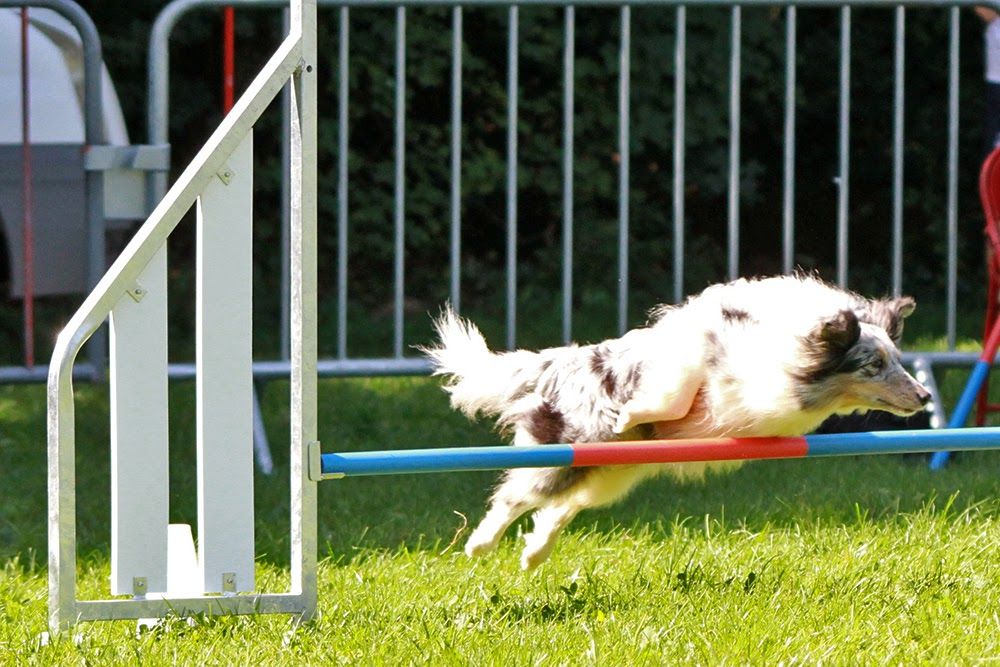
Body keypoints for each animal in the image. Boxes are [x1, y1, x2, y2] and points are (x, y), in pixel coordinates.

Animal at [422, 274, 928, 572]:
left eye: (898, 359)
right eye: (873, 365)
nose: (924, 396)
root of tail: (558, 364)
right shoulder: (695, 352)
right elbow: (676, 393)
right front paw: (632, 410)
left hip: (613, 472)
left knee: (563, 507)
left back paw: (534, 553)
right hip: (569, 452)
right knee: (517, 495)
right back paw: (480, 545)